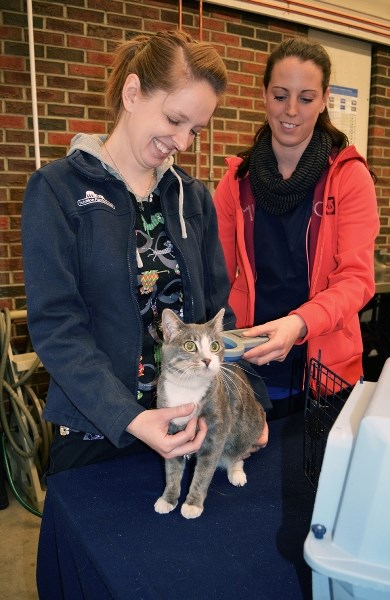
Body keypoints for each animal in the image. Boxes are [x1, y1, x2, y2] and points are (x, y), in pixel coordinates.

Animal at [154, 308, 266, 516]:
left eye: (214, 346)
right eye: (190, 345)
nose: (207, 360)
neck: (188, 388)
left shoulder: (216, 429)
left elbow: (203, 472)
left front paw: (193, 504)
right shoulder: (171, 428)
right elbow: (172, 469)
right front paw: (168, 499)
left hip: (248, 424)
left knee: (238, 451)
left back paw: (236, 471)